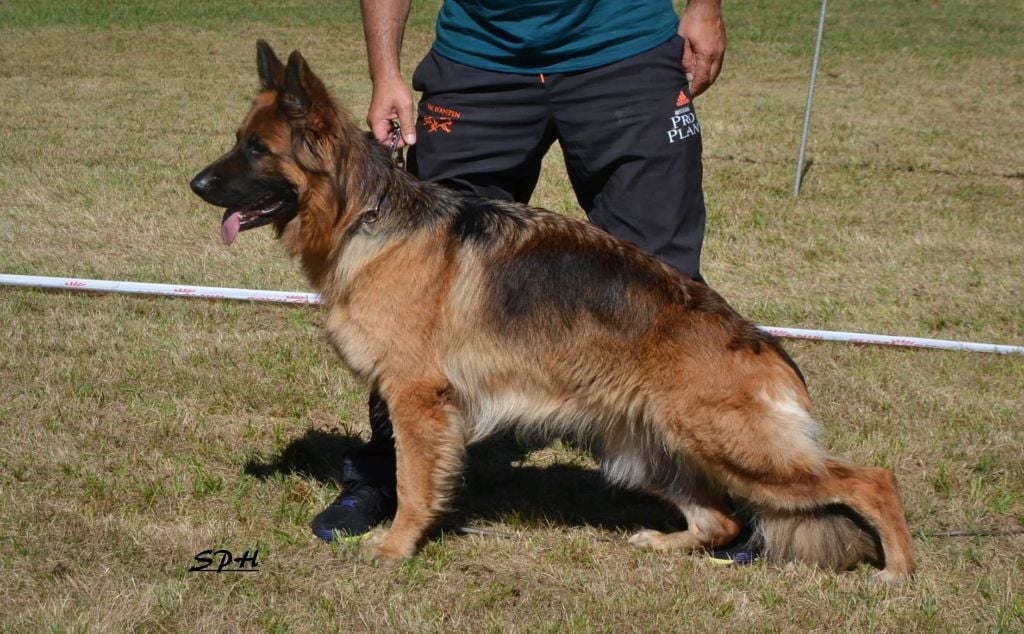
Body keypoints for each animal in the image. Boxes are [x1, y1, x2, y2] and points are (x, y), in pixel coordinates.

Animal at [190, 42, 913, 581]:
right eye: (238, 140)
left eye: (256, 149)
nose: (194, 184)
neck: (365, 216)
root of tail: (764, 345)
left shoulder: (416, 399)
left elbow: (415, 484)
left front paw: (395, 548)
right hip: (644, 448)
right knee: (724, 518)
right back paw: (665, 543)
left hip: (737, 449)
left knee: (871, 481)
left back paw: (897, 572)